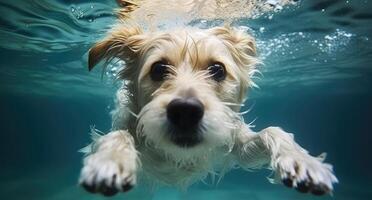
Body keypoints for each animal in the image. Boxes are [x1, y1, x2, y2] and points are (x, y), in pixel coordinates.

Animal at [77, 24, 338, 196]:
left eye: (217, 70)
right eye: (158, 69)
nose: (185, 112)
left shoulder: (235, 145)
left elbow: (273, 131)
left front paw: (302, 161)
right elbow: (119, 135)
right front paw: (111, 160)